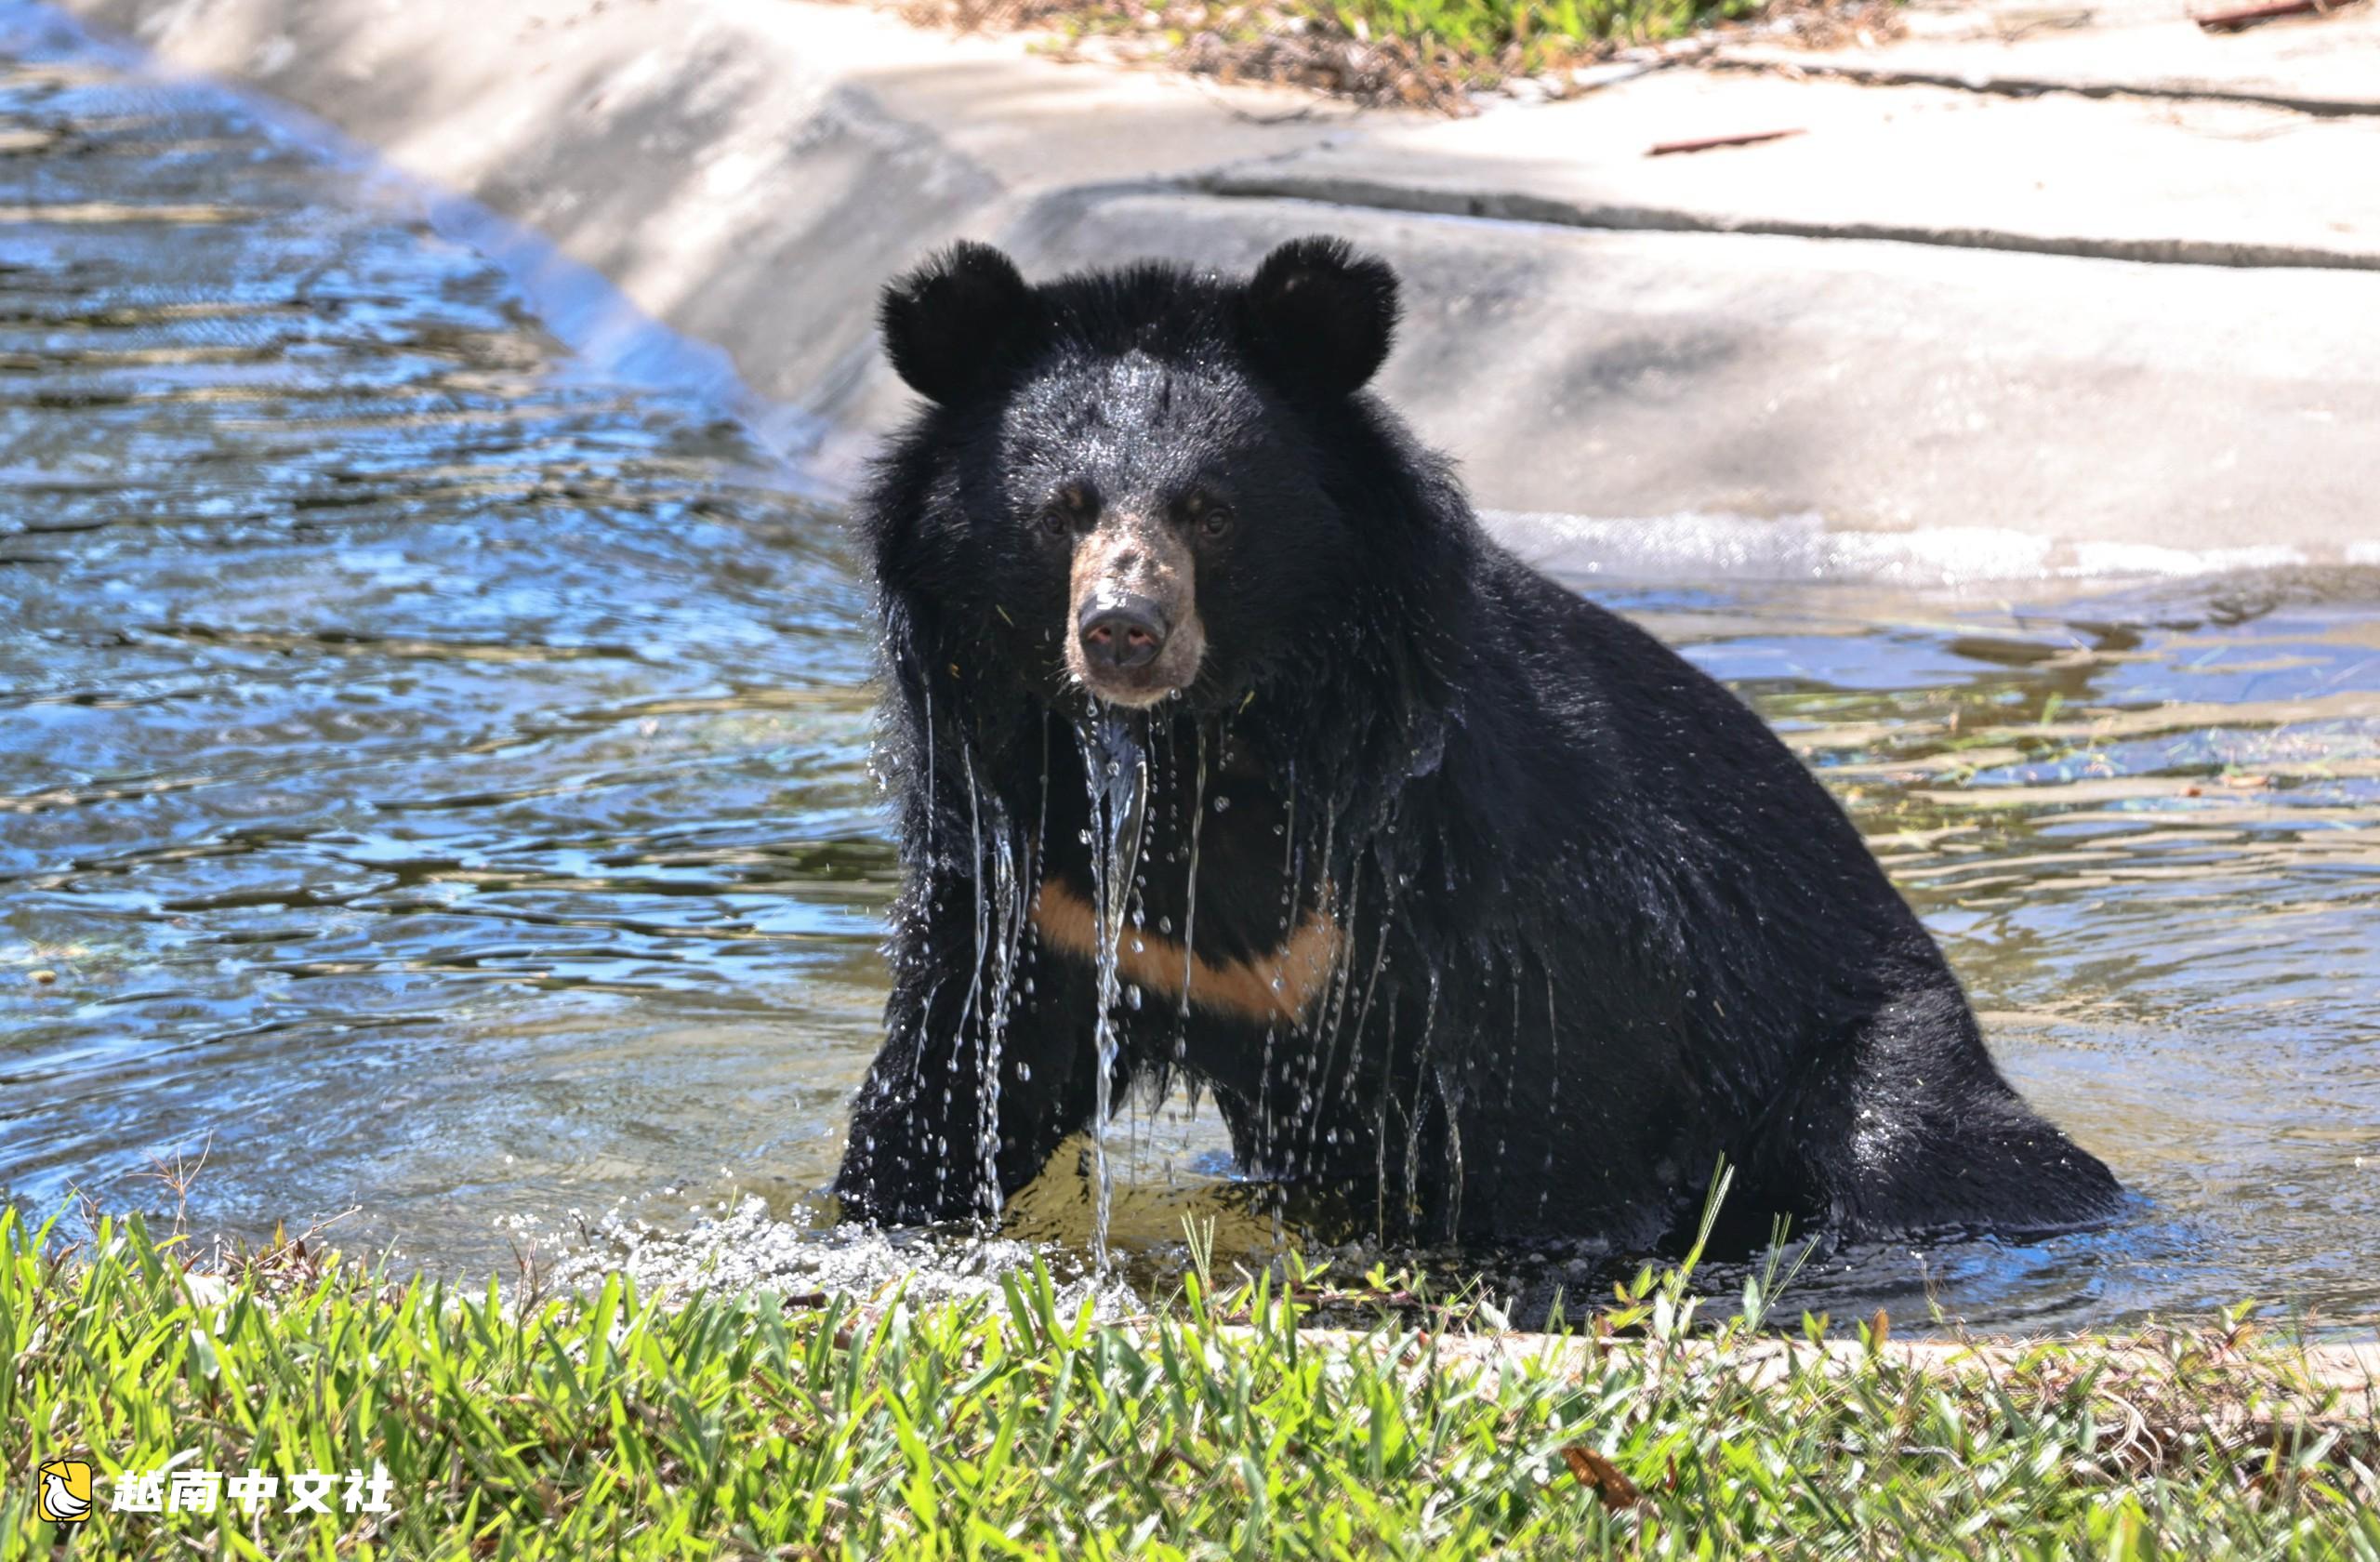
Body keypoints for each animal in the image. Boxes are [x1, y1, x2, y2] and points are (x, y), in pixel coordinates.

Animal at [831, 235, 2123, 1253]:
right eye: (1062, 513)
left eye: (1209, 510)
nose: (1122, 631)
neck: (1215, 739)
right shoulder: (1032, 887)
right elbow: (952, 1083)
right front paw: (870, 1225)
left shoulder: (1487, 867)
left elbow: (1562, 1101)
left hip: (1873, 1059)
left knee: (1902, 1143)